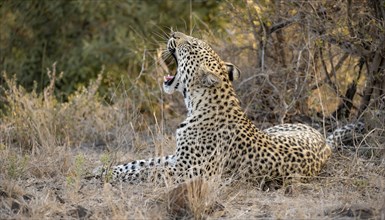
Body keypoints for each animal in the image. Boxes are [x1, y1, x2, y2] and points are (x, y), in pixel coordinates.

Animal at [94, 31, 332, 185]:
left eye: (191, 46)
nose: (174, 33)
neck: (195, 105)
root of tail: (324, 141)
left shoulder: (186, 170)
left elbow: (147, 172)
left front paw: (110, 176)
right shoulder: (177, 158)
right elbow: (141, 163)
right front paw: (105, 168)